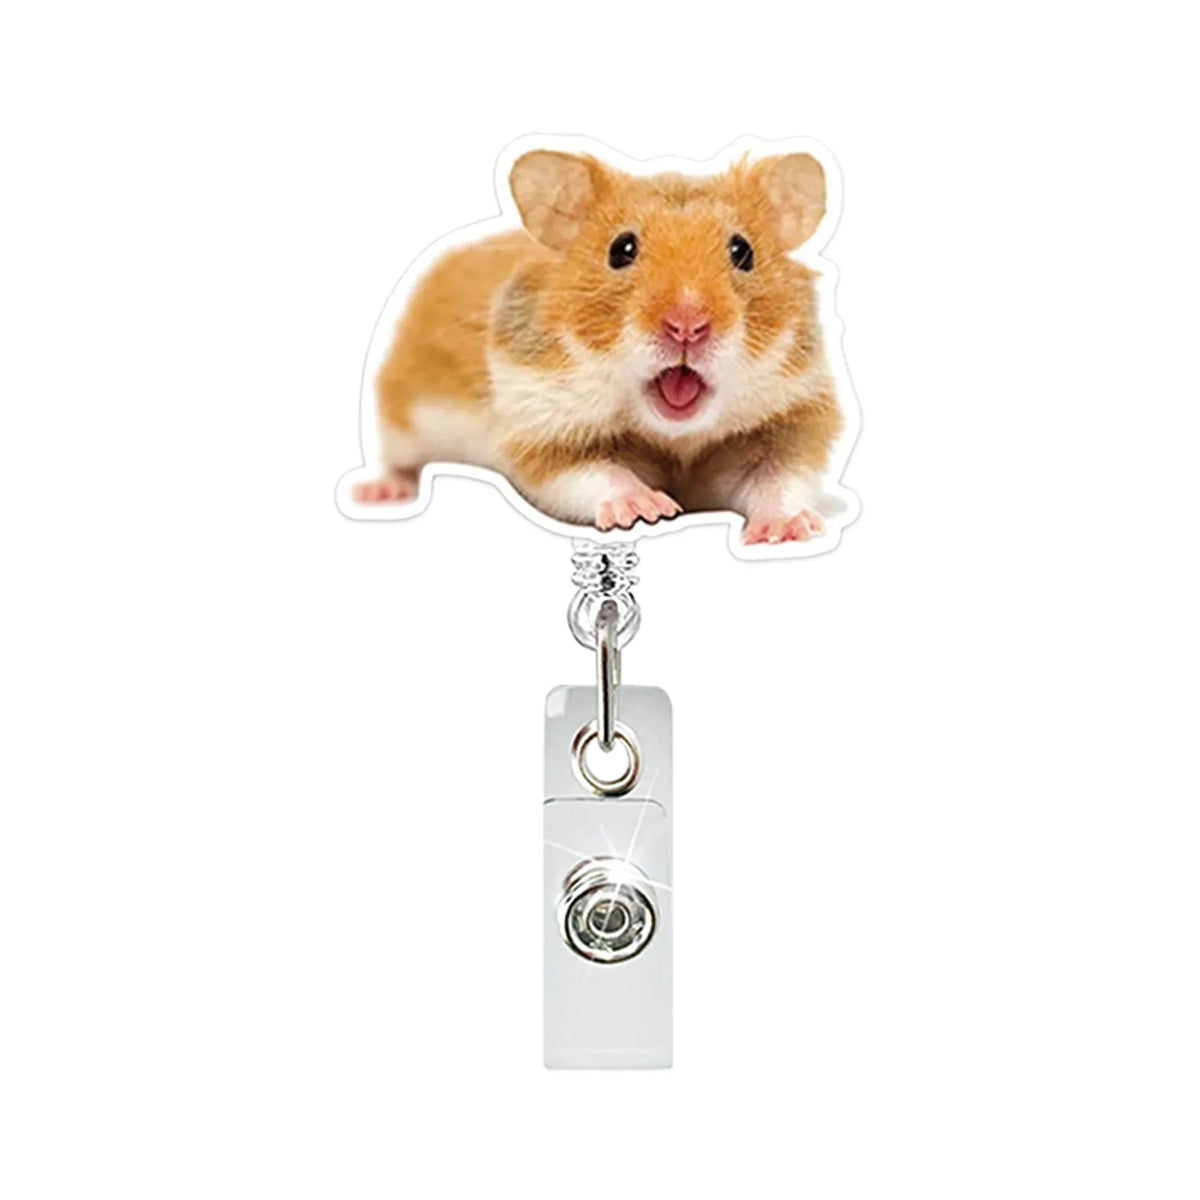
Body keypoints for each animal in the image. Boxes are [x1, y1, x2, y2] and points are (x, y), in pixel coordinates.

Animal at [353, 150, 842, 543]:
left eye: (743, 252)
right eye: (621, 249)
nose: (687, 325)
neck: (674, 435)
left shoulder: (787, 419)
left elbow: (778, 478)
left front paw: (787, 530)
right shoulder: (542, 429)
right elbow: (597, 473)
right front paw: (649, 508)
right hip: (403, 415)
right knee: (398, 459)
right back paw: (380, 491)